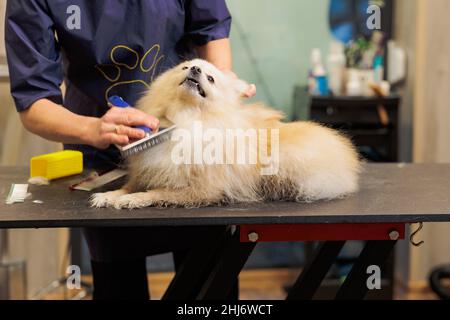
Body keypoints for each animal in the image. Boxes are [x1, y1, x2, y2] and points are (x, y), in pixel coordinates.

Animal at [89, 59, 360, 210]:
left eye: (210, 78)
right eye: (185, 67)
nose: (195, 69)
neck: (186, 118)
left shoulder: (201, 189)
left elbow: (157, 192)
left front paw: (132, 200)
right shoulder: (150, 167)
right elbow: (130, 185)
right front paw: (110, 195)